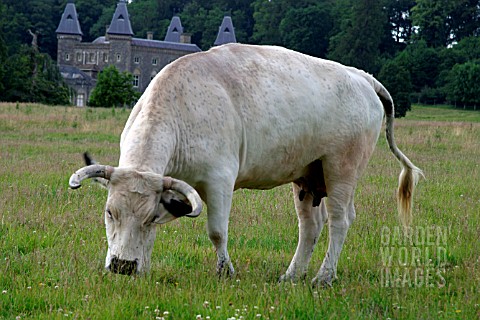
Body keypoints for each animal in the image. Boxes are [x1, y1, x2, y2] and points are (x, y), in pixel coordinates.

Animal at [69, 43, 422, 286]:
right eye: (109, 212)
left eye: (148, 217)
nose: (122, 266)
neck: (179, 112)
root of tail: (362, 77)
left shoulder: (220, 181)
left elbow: (216, 232)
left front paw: (225, 271)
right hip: (308, 177)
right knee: (311, 225)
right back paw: (290, 276)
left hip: (341, 169)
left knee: (340, 220)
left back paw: (323, 277)